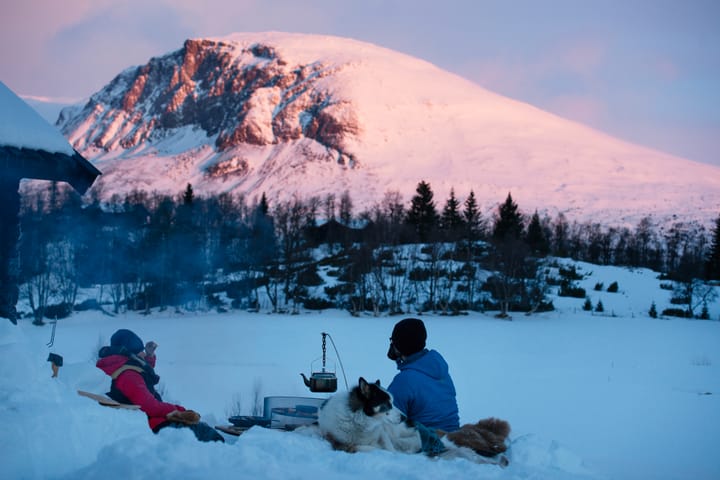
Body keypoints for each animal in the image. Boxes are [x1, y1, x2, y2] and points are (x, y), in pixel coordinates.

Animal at [318, 376, 510, 464]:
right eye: (387, 404)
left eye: (394, 401)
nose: (405, 417)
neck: (359, 420)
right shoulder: (342, 443)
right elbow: (366, 448)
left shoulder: (383, 435)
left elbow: (387, 448)